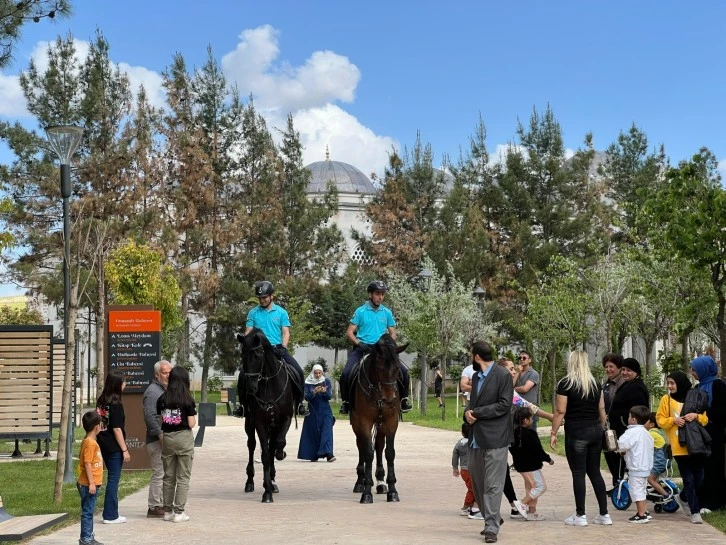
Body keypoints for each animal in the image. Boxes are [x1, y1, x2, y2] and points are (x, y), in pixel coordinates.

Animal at [239, 328, 296, 502]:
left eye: (258, 355)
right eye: (242, 356)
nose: (251, 388)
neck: (270, 385)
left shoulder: (284, 420)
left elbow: (277, 445)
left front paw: (280, 455)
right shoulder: (260, 423)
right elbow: (264, 454)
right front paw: (267, 492)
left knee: (273, 447)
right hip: (249, 423)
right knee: (251, 445)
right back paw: (250, 482)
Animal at [350, 334, 406, 504]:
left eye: (397, 369)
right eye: (380, 368)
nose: (389, 398)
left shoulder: (391, 421)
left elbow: (389, 452)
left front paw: (393, 491)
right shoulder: (364, 421)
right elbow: (368, 452)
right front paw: (366, 491)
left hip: (381, 424)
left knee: (380, 446)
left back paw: (381, 483)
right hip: (357, 424)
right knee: (361, 446)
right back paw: (360, 482)